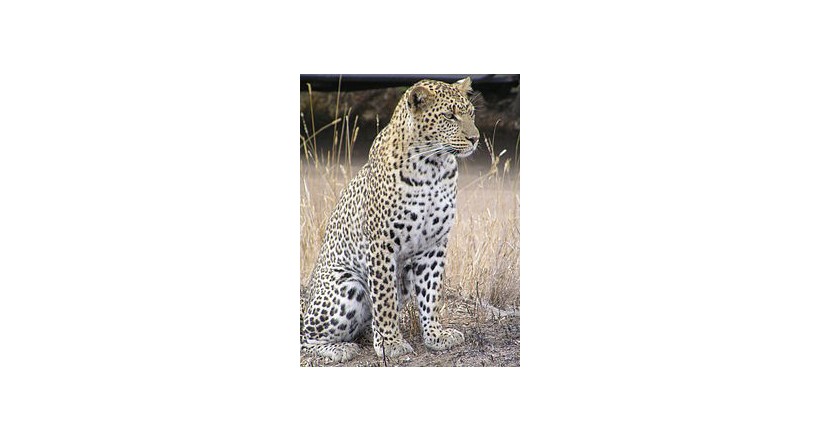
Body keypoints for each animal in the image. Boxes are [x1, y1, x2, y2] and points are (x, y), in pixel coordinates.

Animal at [300, 77, 480, 363]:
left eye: (471, 114)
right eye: (449, 116)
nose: (475, 139)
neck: (433, 167)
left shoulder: (433, 244)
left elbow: (432, 293)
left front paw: (435, 335)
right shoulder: (381, 245)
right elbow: (384, 299)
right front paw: (390, 343)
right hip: (347, 286)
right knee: (308, 337)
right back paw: (340, 349)